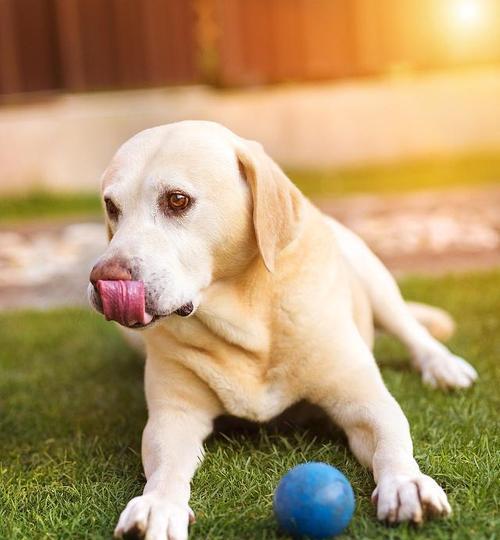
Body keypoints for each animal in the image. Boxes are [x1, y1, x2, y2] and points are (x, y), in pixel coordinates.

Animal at [88, 120, 478, 536]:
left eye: (177, 200)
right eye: (111, 207)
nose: (103, 279)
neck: (247, 321)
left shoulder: (366, 401)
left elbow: (391, 439)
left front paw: (406, 483)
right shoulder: (173, 416)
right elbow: (165, 467)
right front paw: (158, 505)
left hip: (374, 276)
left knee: (410, 328)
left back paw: (443, 365)